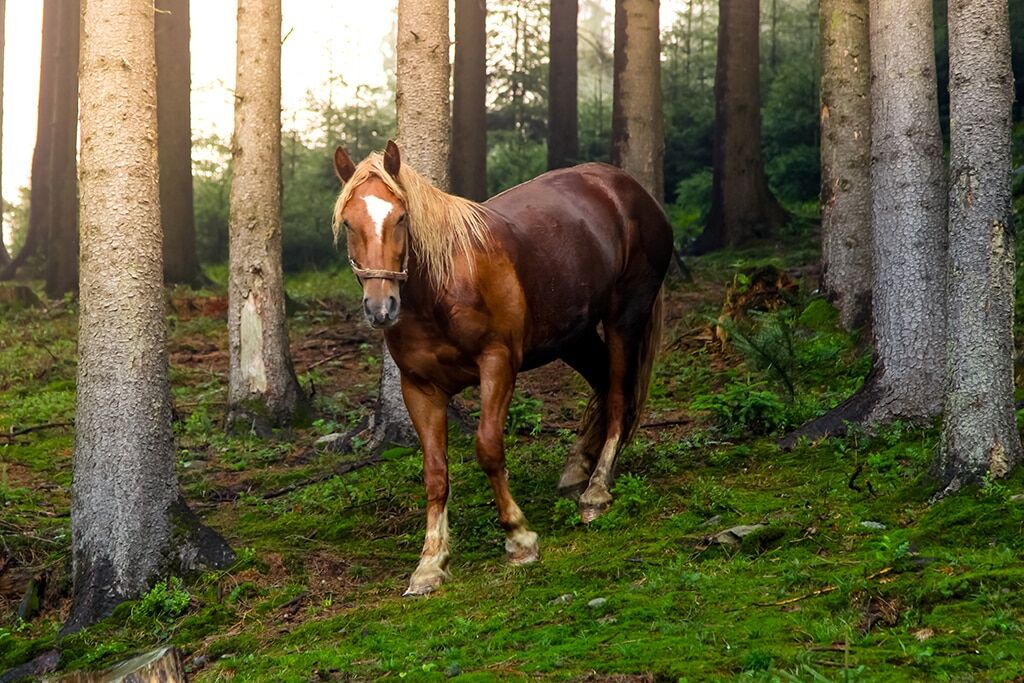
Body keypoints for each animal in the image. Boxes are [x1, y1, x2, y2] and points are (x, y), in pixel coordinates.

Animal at [331, 141, 675, 593]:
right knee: (604, 385)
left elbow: (489, 449)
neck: (442, 289)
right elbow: (435, 472)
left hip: (624, 317)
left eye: (401, 217)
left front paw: (519, 537)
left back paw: (596, 490)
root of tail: (629, 189)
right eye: (349, 222)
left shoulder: (497, 365)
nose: (381, 306)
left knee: (619, 396)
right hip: (574, 335)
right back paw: (577, 468)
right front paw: (430, 564)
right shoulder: (419, 388)